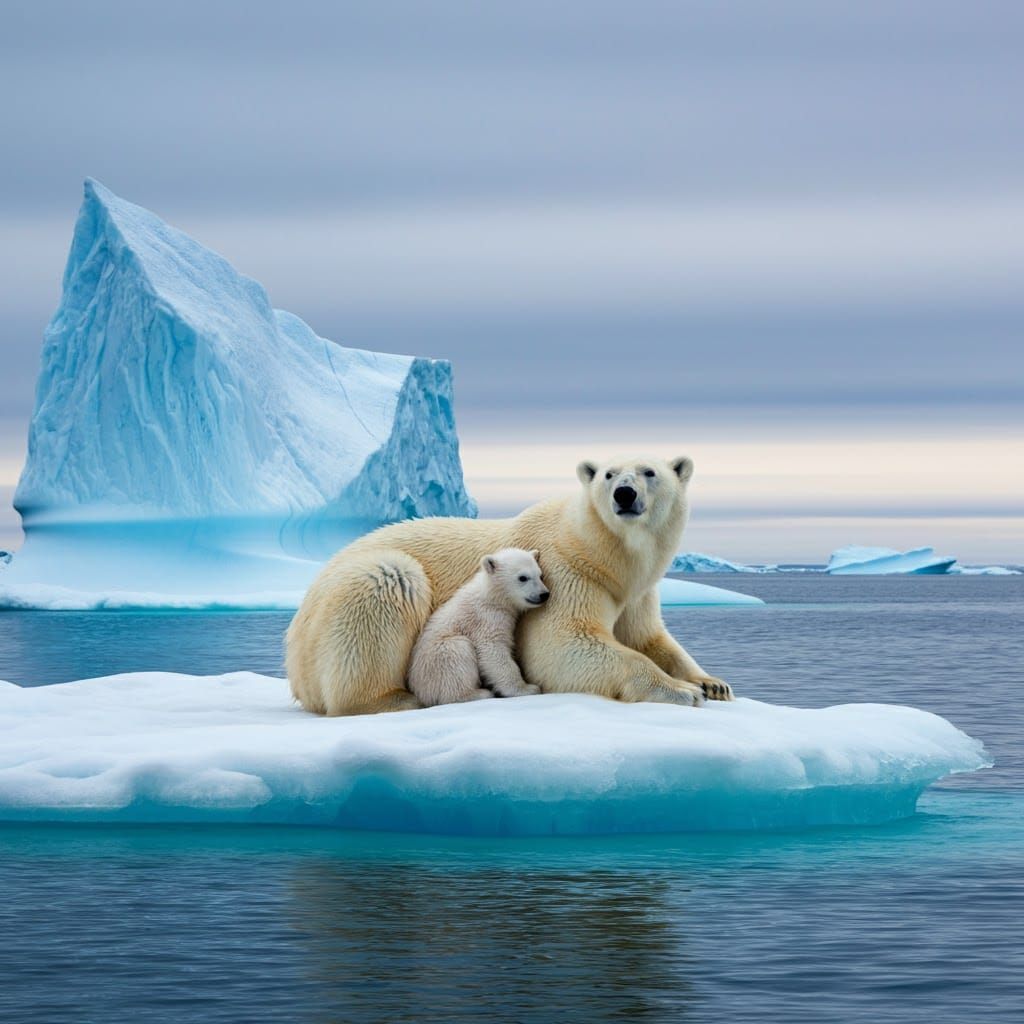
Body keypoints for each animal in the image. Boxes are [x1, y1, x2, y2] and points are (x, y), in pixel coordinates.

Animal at [407, 547, 549, 706]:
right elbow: (492, 650)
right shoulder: (485, 618)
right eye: (523, 577)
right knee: (457, 651)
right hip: (435, 662)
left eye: (540, 575)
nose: (544, 594)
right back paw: (479, 693)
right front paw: (527, 689)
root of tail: (419, 692)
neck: (491, 595)